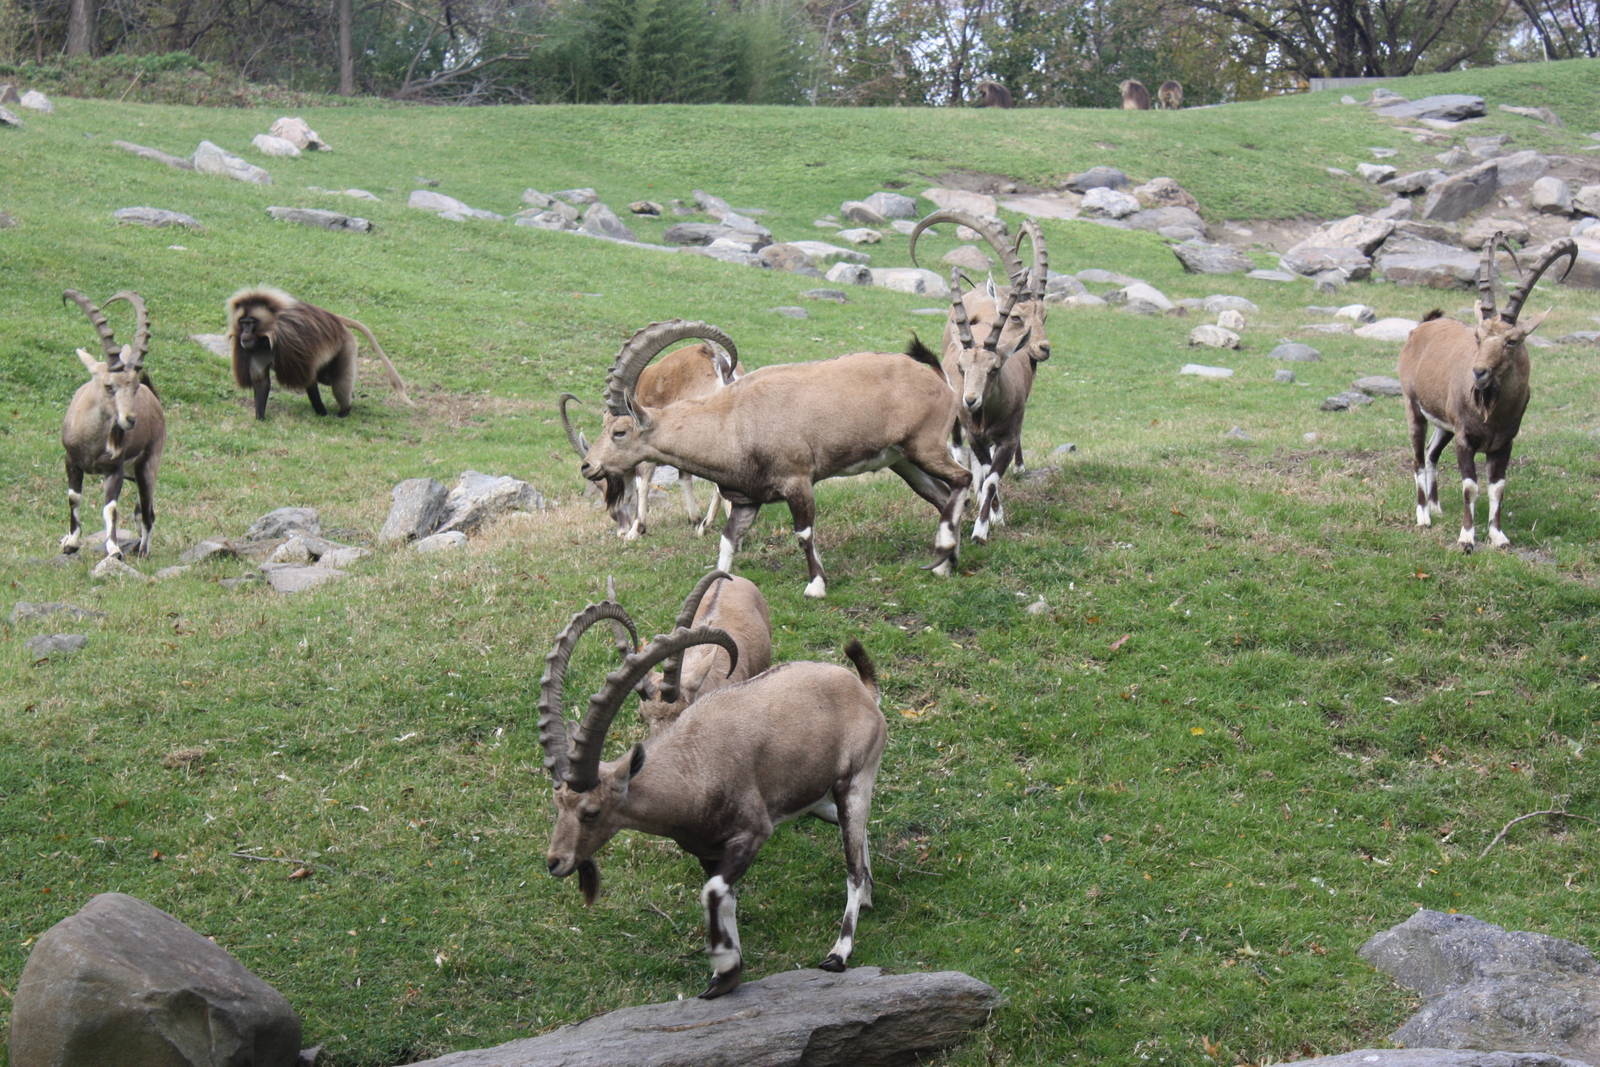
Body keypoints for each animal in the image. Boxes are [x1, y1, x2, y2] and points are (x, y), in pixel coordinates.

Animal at [227, 287, 413, 420]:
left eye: (251, 323)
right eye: (242, 323)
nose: (244, 336)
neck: (266, 337)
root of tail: (336, 319)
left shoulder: (290, 341)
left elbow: (308, 379)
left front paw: (322, 412)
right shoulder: (256, 349)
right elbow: (261, 381)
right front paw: (260, 418)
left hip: (346, 344)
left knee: (338, 382)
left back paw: (345, 411)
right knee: (327, 378)